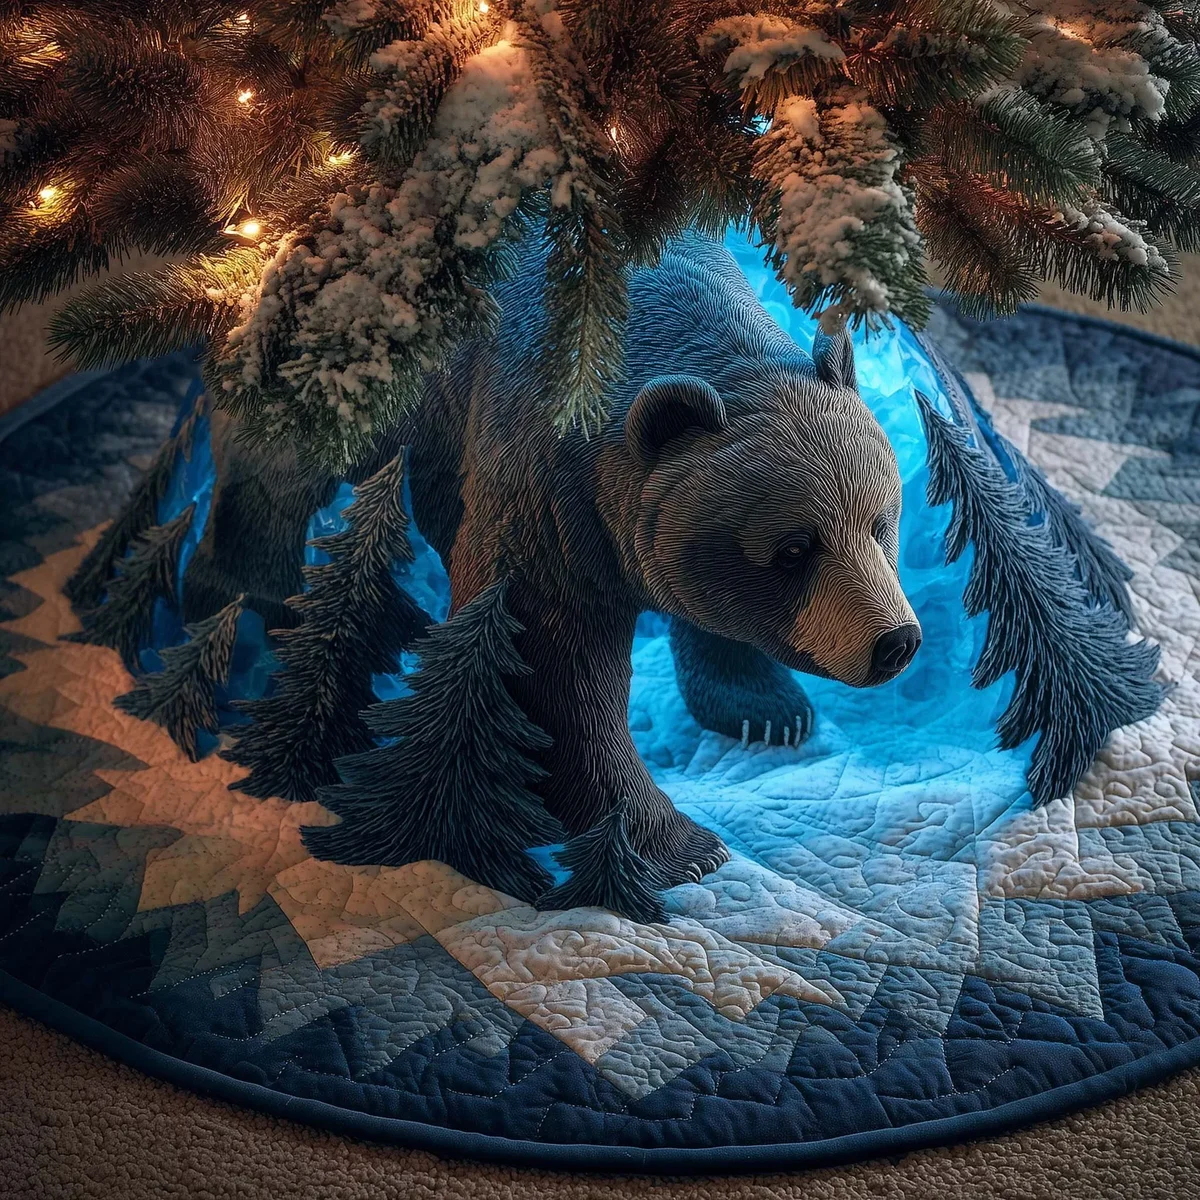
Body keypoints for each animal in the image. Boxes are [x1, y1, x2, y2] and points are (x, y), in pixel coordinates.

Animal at [183, 231, 922, 888]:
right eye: (794, 549)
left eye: (880, 521)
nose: (895, 641)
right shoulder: (545, 476)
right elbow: (551, 659)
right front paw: (675, 845)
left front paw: (766, 707)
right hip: (346, 347)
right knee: (276, 468)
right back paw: (247, 608)